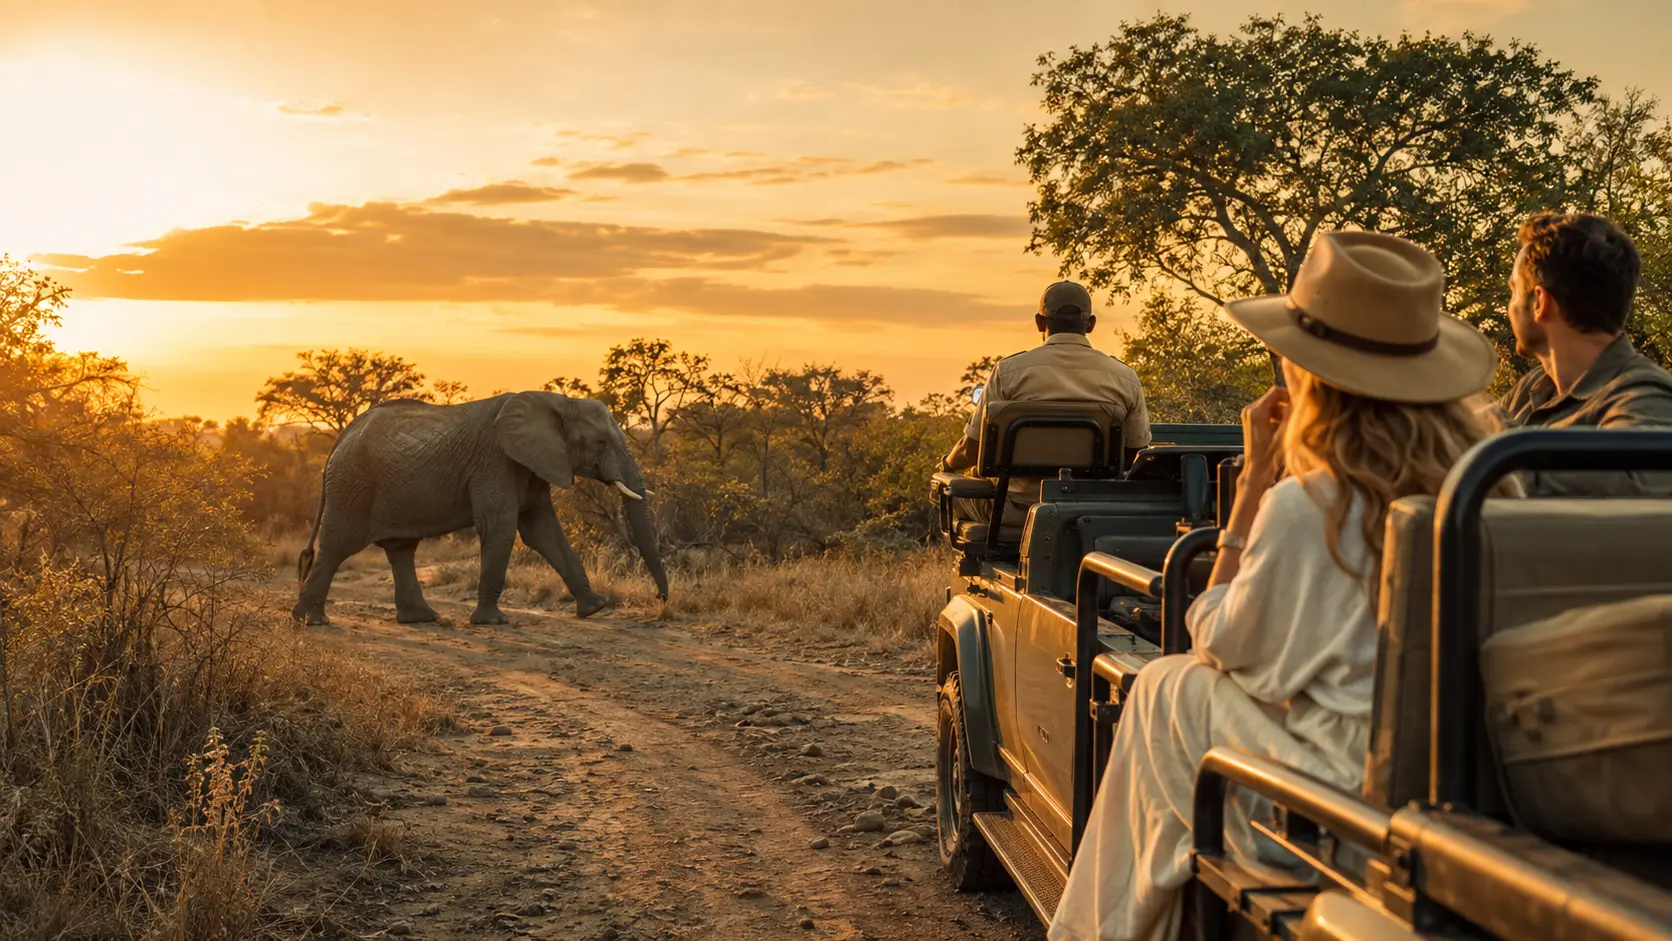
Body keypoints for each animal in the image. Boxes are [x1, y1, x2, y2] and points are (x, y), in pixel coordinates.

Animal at [292, 391, 669, 626]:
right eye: (600, 442)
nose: (660, 599)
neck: (558, 402)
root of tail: (342, 436)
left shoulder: (533, 465)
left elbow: (543, 531)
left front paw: (595, 608)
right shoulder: (496, 462)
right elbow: (500, 527)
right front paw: (493, 622)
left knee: (400, 549)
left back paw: (422, 619)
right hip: (352, 484)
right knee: (336, 547)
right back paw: (310, 621)